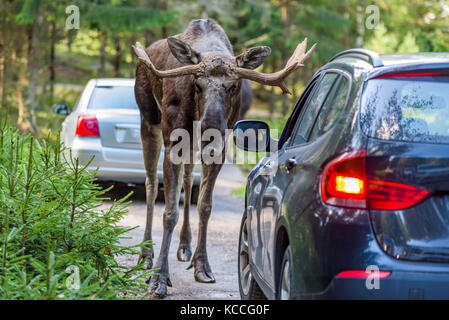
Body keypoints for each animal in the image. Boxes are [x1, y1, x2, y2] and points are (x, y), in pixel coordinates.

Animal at [132, 18, 316, 298]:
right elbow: (170, 211)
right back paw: (145, 254)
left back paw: (184, 246)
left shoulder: (217, 148)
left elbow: (205, 205)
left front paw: (202, 266)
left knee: (188, 179)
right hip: (149, 118)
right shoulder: (173, 139)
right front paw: (159, 279)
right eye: (197, 84)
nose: (211, 126)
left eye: (233, 86)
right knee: (151, 184)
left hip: (191, 144)